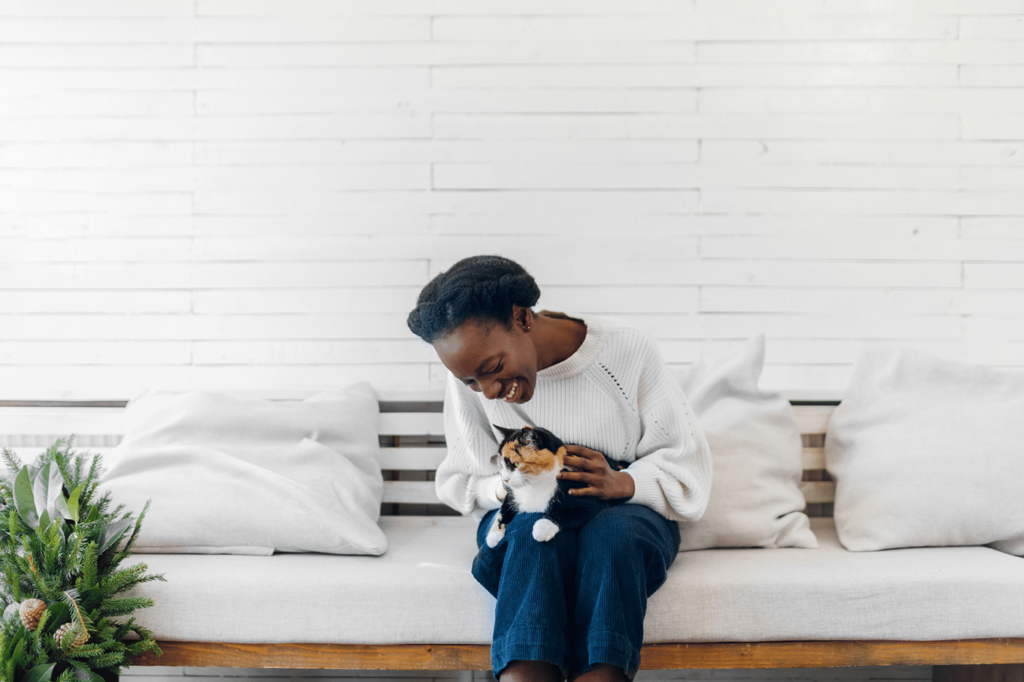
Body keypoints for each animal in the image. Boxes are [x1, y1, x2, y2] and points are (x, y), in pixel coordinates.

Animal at [483, 421, 626, 544]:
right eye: (500, 465)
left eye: (517, 464)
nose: (505, 480)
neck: (535, 485)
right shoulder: (512, 494)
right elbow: (502, 509)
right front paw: (493, 536)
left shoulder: (588, 499)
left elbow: (567, 514)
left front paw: (542, 527)